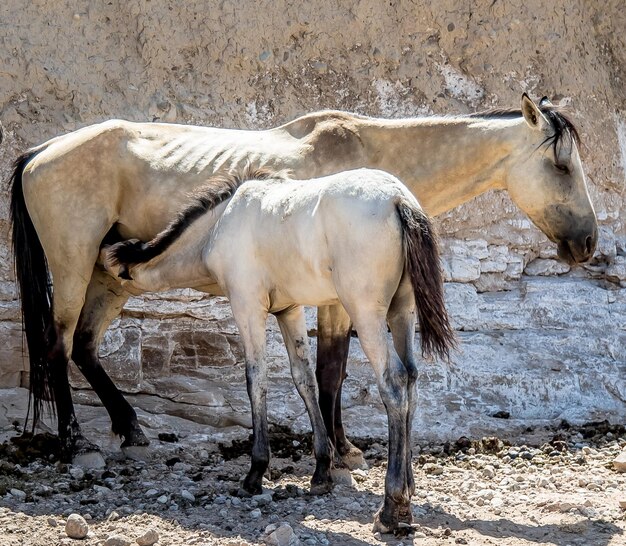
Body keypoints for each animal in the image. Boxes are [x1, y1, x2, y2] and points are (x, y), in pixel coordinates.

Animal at [102, 167, 454, 532]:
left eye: (115, 278)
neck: (221, 222)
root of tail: (398, 199)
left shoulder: (247, 306)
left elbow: (255, 380)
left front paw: (255, 472)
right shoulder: (290, 310)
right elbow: (305, 380)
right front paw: (321, 472)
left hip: (366, 312)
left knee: (394, 384)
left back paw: (391, 508)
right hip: (401, 311)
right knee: (411, 380)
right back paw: (408, 493)